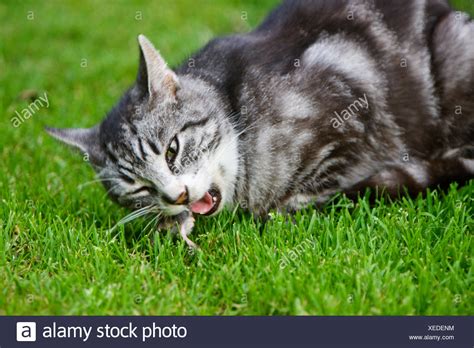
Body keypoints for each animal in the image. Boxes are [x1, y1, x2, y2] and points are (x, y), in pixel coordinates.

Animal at [47, 0, 474, 247]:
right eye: (138, 187)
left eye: (172, 150)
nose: (177, 197)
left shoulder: (353, 113)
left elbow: (317, 181)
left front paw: (287, 206)